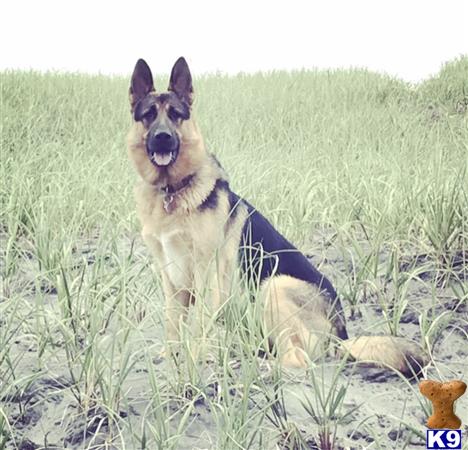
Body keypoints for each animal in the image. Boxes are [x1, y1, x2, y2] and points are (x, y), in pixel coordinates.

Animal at [126, 58, 426, 374]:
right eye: (149, 115)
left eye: (175, 115)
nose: (162, 138)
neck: (172, 191)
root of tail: (341, 335)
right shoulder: (171, 279)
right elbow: (173, 324)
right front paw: (170, 359)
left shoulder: (206, 273)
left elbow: (200, 326)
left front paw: (197, 359)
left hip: (273, 285)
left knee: (297, 359)